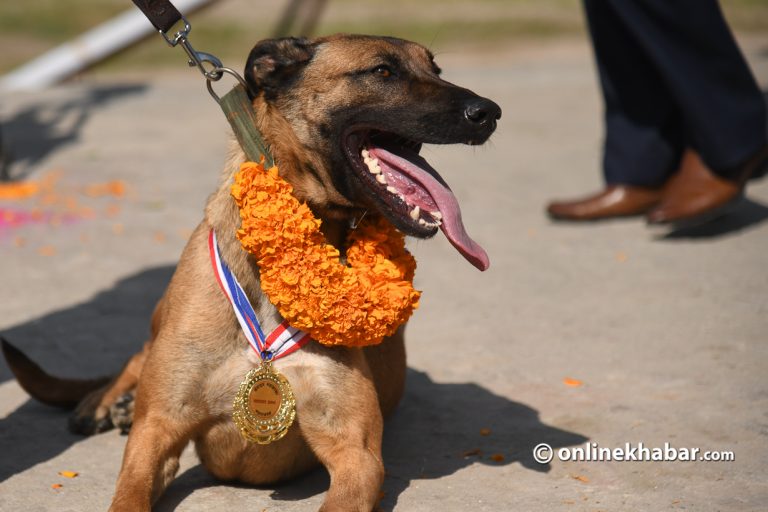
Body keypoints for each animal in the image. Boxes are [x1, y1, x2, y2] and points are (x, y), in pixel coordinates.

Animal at [1, 34, 498, 510]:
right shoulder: (157, 430)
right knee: (137, 355)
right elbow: (129, 493)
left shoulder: (357, 455)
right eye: (382, 71)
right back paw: (105, 401)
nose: (489, 113)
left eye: (436, 69)